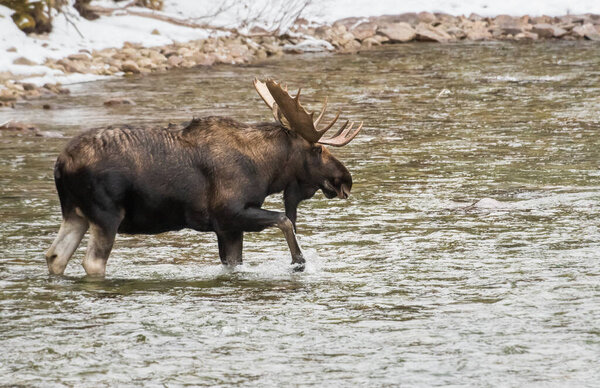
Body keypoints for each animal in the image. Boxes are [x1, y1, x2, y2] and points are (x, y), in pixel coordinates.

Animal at [44, 79, 364, 276]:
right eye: (318, 148)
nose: (345, 179)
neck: (266, 169)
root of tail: (60, 164)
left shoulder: (227, 228)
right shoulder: (230, 213)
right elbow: (285, 220)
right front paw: (299, 262)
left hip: (75, 214)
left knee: (54, 256)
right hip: (107, 215)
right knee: (91, 262)